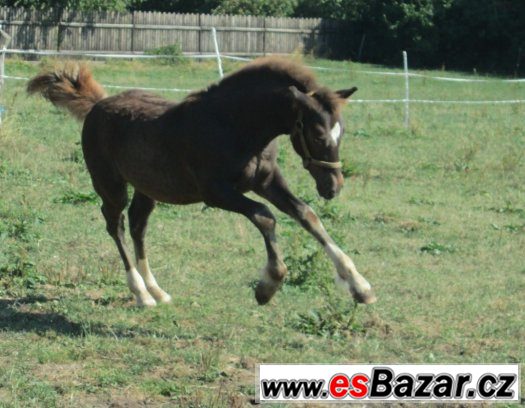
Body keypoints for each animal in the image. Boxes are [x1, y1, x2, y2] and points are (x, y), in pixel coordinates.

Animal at [26, 56, 374, 306]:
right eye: (317, 134)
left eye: (341, 131)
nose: (332, 186)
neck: (233, 125)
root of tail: (98, 105)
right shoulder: (216, 193)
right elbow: (265, 217)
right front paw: (267, 286)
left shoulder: (267, 181)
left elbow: (307, 215)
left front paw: (360, 287)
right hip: (110, 185)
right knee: (116, 225)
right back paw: (141, 294)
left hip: (147, 188)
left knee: (138, 226)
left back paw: (157, 290)